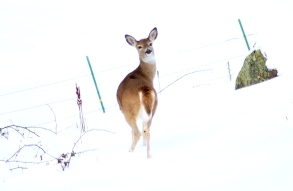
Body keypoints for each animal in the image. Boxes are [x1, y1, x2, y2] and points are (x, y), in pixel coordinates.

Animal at [116, 27, 157, 158]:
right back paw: (148, 156)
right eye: (139, 46)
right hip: (153, 108)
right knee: (146, 130)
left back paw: (129, 152)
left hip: (128, 111)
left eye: (150, 43)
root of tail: (143, 88)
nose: (148, 51)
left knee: (137, 132)